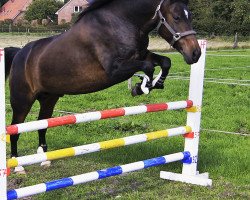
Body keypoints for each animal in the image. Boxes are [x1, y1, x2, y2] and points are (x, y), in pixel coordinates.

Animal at [5, 0, 201, 170]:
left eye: (190, 16)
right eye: (176, 17)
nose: (195, 53)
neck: (123, 21)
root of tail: (19, 54)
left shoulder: (142, 54)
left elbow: (165, 62)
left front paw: (155, 84)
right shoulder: (115, 69)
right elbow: (148, 67)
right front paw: (141, 87)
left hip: (49, 98)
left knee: (42, 124)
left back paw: (44, 159)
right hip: (22, 101)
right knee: (15, 129)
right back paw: (18, 165)